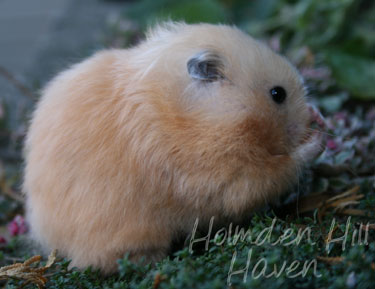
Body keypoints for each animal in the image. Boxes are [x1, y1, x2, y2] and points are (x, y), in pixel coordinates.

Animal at [22, 22, 324, 272]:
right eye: (277, 94)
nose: (311, 121)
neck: (202, 120)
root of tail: (48, 236)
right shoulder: (223, 177)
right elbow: (279, 170)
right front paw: (318, 138)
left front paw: (319, 117)